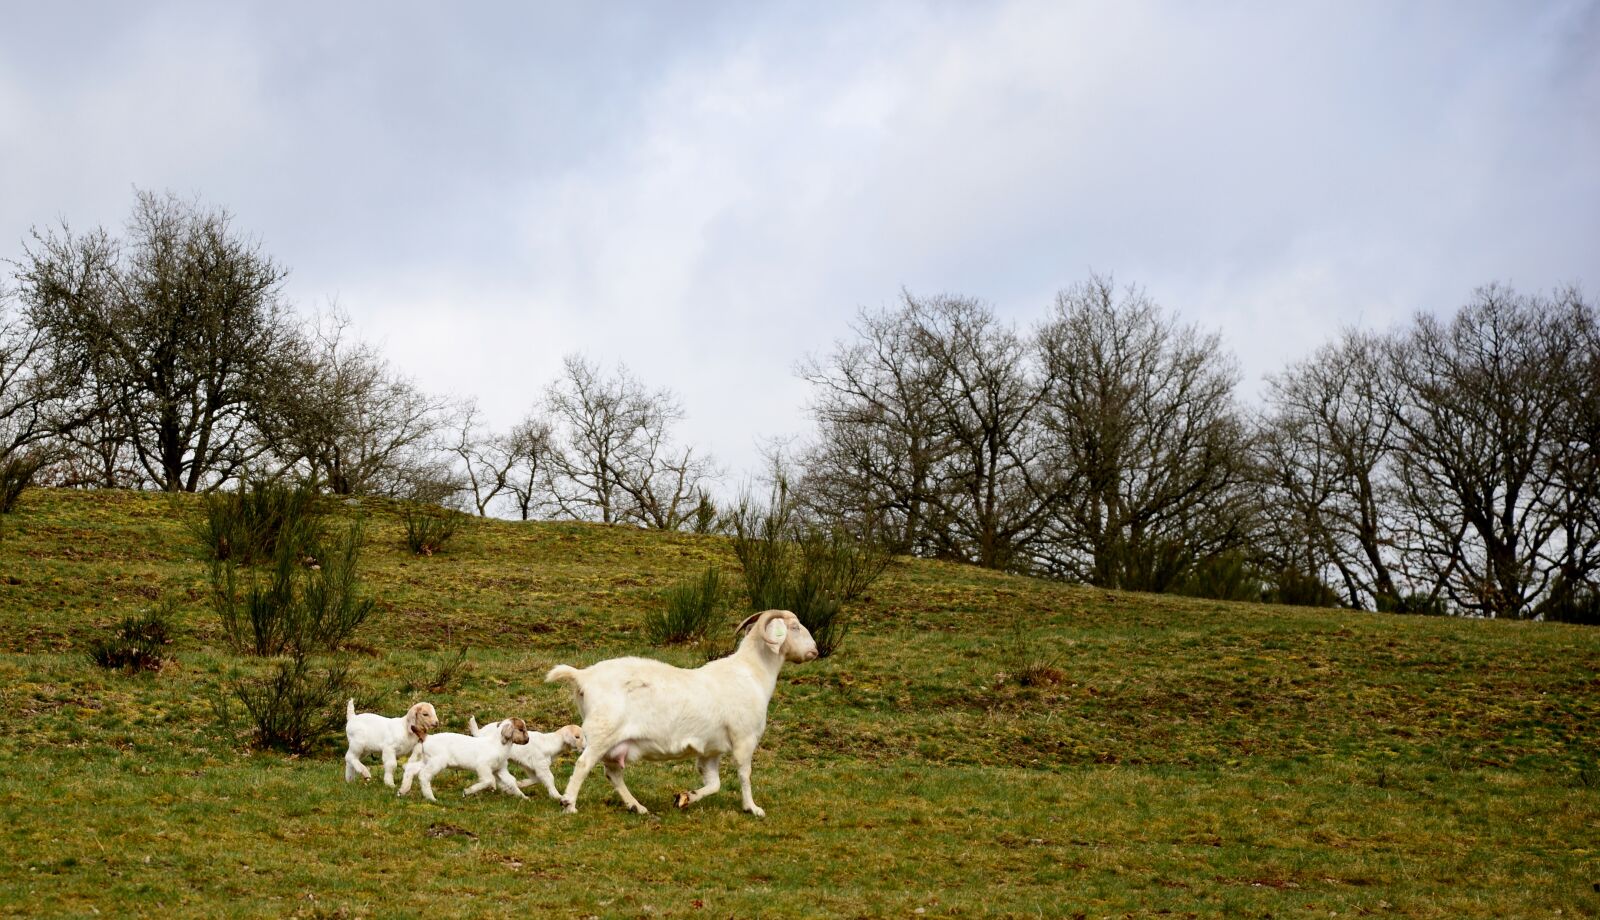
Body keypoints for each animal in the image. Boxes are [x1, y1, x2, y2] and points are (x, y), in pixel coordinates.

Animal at [545, 609, 818, 816]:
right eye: (795, 627)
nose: (815, 650)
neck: (751, 673)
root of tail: (583, 676)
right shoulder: (744, 739)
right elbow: (744, 774)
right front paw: (752, 808)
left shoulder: (710, 750)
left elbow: (714, 784)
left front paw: (685, 797)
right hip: (602, 733)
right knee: (584, 764)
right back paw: (569, 804)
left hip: (615, 744)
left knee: (612, 773)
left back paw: (637, 807)